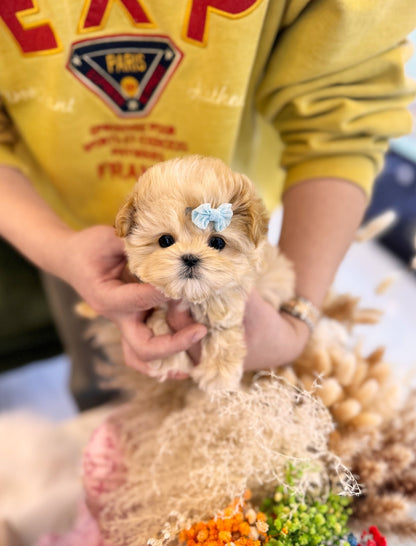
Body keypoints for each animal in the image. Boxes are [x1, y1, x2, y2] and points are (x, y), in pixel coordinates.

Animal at [115, 155, 294, 388]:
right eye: (165, 240)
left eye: (217, 242)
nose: (191, 258)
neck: (192, 297)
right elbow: (160, 319)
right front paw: (167, 359)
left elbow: (224, 326)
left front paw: (218, 372)